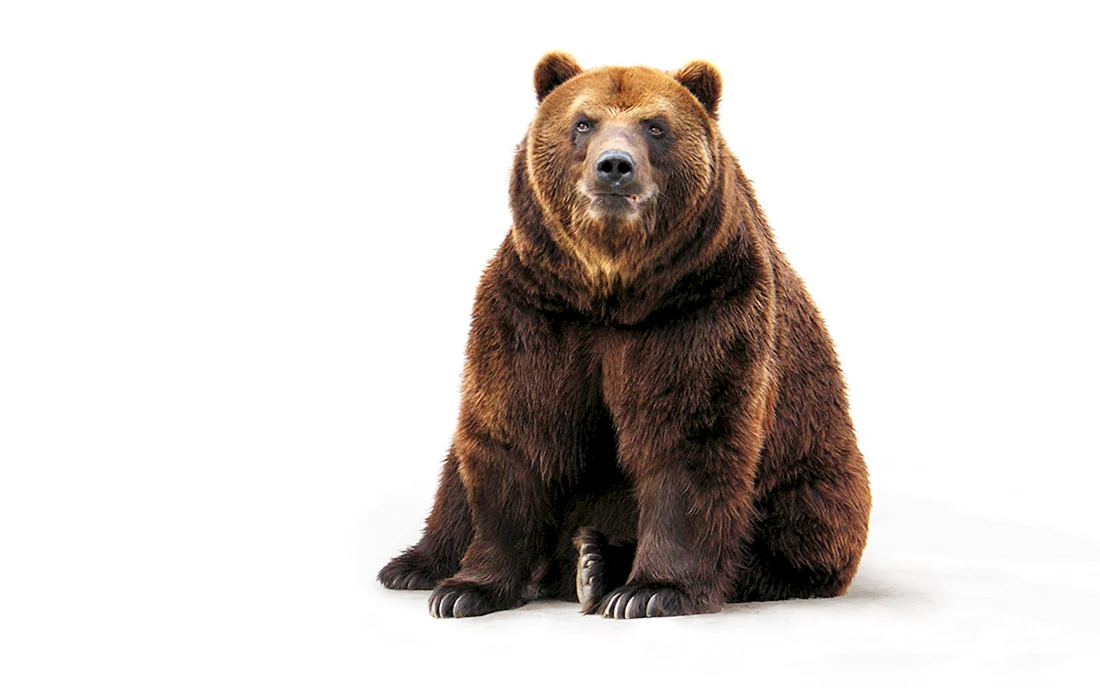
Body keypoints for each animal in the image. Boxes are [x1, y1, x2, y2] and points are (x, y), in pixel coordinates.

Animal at [378, 52, 871, 619]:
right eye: (582, 122)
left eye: (655, 126)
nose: (614, 165)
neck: (612, 290)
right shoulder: (536, 310)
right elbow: (516, 430)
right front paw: (466, 589)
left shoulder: (700, 309)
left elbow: (689, 438)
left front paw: (651, 590)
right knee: (456, 473)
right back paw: (416, 565)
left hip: (814, 472)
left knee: (793, 530)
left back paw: (597, 562)